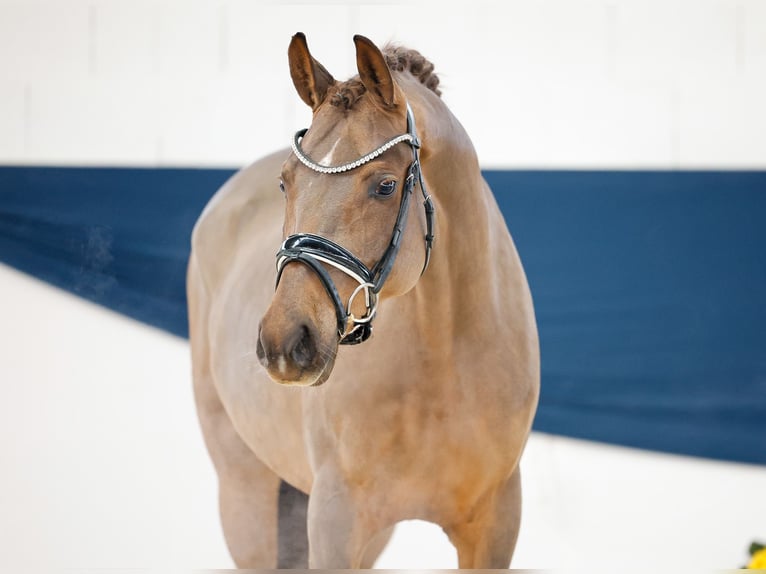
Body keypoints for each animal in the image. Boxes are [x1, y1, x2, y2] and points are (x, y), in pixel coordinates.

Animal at [189, 33, 544, 568]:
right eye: (285, 183)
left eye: (385, 185)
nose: (285, 342)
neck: (445, 358)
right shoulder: (336, 520)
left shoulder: (496, 525)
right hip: (246, 494)